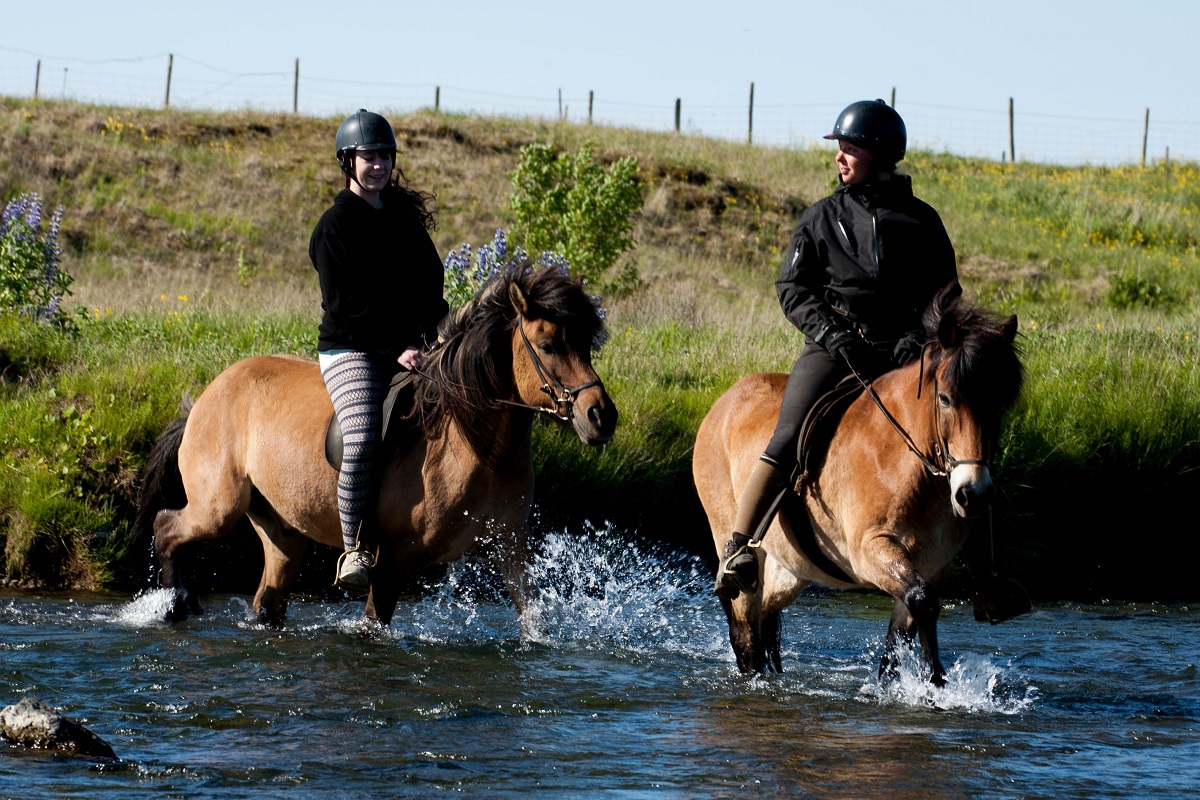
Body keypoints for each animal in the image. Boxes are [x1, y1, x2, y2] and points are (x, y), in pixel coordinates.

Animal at [138, 262, 619, 633]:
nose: (601, 417)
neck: (478, 446)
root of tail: (207, 395)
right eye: (548, 345)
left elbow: (533, 618)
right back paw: (176, 605)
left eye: (586, 344)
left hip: (281, 530)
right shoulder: (391, 561)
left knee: (268, 601)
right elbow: (373, 626)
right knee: (166, 527)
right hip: (219, 507)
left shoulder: (510, 546)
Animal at [696, 291, 1022, 686]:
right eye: (945, 398)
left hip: (793, 567)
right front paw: (936, 681)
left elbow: (905, 629)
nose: (972, 494)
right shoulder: (870, 550)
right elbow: (922, 600)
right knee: (745, 631)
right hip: (736, 545)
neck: (911, 466)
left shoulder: (932, 565)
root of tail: (723, 402)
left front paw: (920, 684)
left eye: (1000, 406)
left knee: (766, 614)